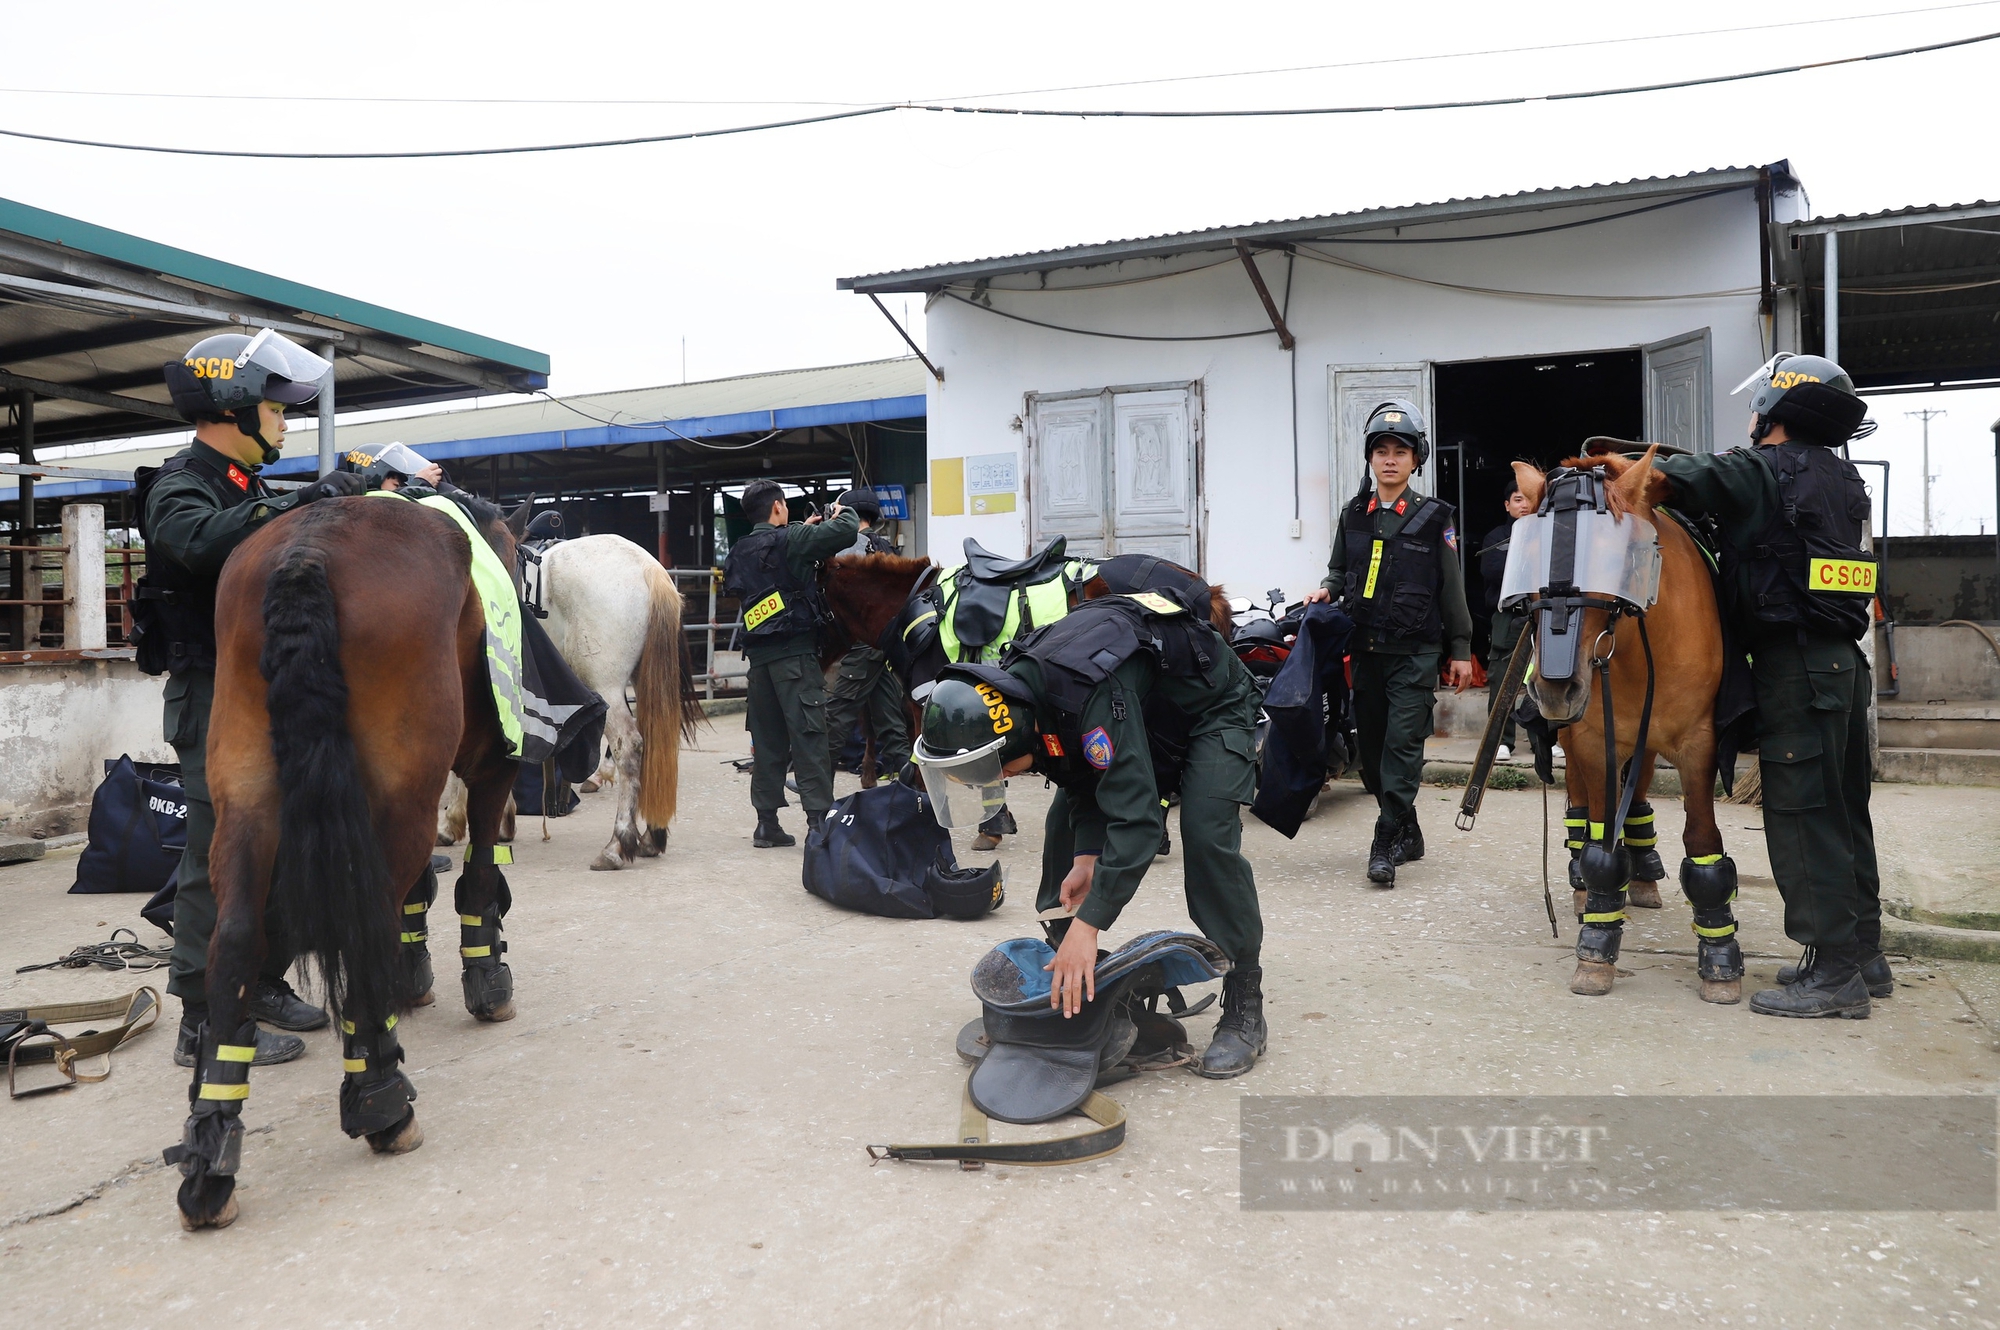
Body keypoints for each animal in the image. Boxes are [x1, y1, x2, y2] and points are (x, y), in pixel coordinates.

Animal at [172, 492, 528, 1232]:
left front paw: (413, 977)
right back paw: (382, 1101)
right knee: (365, 925)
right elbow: (478, 874)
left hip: (246, 791)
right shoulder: (488, 766)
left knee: (236, 939)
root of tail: (308, 550)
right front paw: (485, 978)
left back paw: (211, 1151)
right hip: (399, 785)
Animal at [444, 528, 704, 872]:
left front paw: (452, 822)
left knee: (629, 746)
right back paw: (651, 837)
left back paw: (617, 845)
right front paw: (501, 821)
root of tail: (650, 569)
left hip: (605, 685)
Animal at [1512, 452, 1736, 1000]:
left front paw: (1718, 956)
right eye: (1529, 557)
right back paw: (1582, 885)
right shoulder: (1592, 739)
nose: (1555, 687)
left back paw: (1644, 875)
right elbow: (1600, 843)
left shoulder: (1699, 743)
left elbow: (1702, 841)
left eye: (1614, 559)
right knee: (1582, 803)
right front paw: (1596, 942)